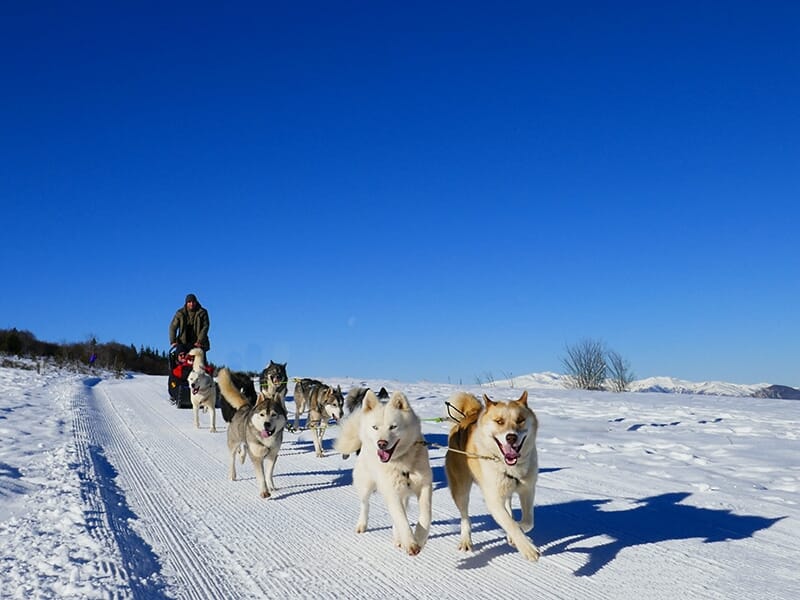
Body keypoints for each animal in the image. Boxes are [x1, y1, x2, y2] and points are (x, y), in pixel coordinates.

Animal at [216, 368, 288, 500]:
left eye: (274, 414)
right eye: (262, 414)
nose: (266, 424)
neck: (267, 441)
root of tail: (245, 406)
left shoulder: (273, 455)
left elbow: (269, 474)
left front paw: (271, 486)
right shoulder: (257, 457)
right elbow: (261, 476)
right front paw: (264, 491)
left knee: (244, 447)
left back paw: (242, 456)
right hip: (233, 443)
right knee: (232, 458)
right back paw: (232, 473)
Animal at [332, 392, 432, 556]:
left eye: (393, 426)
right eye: (375, 427)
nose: (382, 443)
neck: (401, 463)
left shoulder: (424, 486)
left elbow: (426, 515)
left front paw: (419, 538)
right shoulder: (392, 492)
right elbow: (402, 521)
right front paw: (410, 543)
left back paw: (398, 538)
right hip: (366, 486)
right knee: (365, 505)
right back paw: (362, 524)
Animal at [446, 390, 540, 564]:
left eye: (520, 420)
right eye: (499, 421)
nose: (511, 437)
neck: (510, 468)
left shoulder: (528, 490)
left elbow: (527, 521)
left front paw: (516, 535)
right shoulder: (493, 500)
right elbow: (511, 524)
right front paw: (527, 548)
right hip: (461, 491)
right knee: (465, 518)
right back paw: (466, 540)